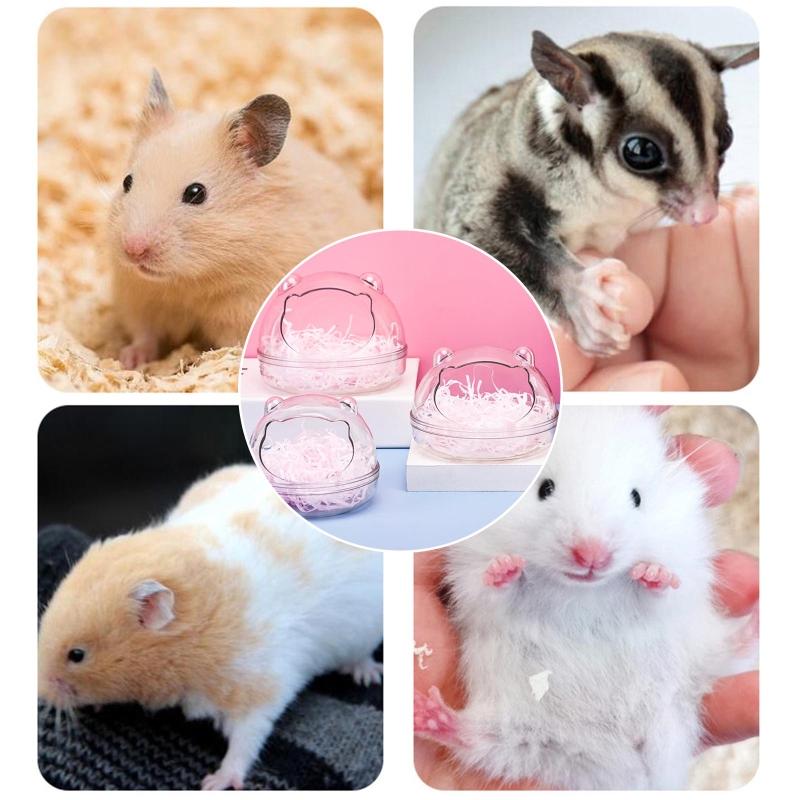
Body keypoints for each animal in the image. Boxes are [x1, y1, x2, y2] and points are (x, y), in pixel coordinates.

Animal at [38, 465, 383, 790]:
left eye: (77, 655)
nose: (41, 693)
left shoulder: (259, 683)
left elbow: (247, 738)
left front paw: (215, 783)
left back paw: (366, 675)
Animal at [109, 71, 379, 368]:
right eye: (127, 181)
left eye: (196, 193)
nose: (133, 250)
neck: (189, 282)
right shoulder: (141, 297)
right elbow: (145, 334)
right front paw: (128, 359)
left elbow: (230, 346)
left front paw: (199, 361)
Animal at [414, 407, 755, 789]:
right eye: (545, 489)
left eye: (636, 497)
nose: (592, 555)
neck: (582, 593)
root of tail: (624, 764)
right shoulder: (469, 574)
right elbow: (492, 587)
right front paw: (507, 566)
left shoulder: (685, 569)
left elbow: (664, 591)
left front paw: (652, 573)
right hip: (517, 735)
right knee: (475, 741)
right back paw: (426, 714)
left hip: (696, 653)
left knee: (729, 652)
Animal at [417, 32, 758, 356]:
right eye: (641, 151)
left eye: (727, 136)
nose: (706, 213)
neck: (605, 198)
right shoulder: (491, 177)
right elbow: (474, 227)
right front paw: (581, 298)